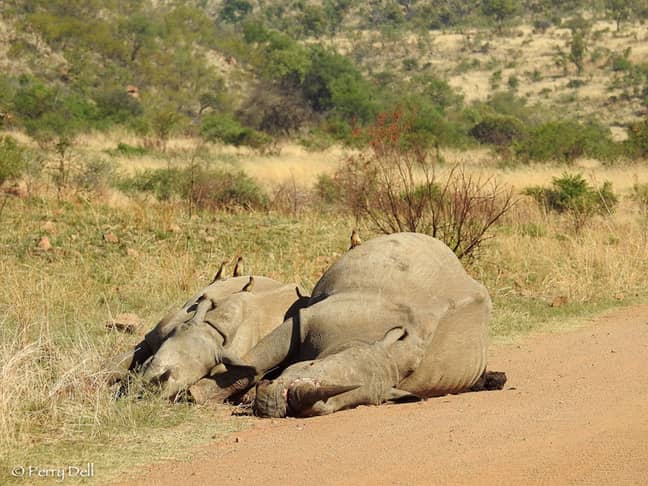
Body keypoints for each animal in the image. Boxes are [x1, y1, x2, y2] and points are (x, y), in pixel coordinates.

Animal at [108, 274, 308, 398]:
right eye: (151, 363)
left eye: (183, 385)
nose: (143, 393)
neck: (212, 329)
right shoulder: (157, 335)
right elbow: (125, 360)